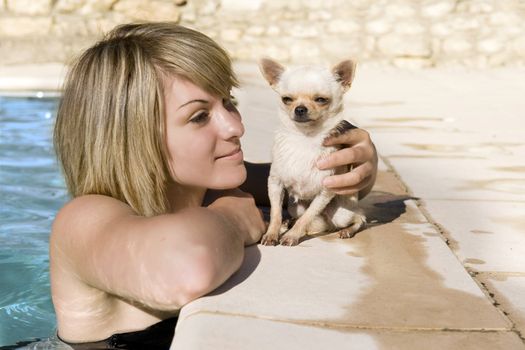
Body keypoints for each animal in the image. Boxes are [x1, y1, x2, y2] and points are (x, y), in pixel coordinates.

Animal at [258, 58, 364, 246]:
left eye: (321, 99)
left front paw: (292, 236)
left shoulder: (325, 192)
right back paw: (288, 223)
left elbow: (306, 218)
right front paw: (272, 233)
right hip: (295, 207)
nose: (300, 108)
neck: (305, 139)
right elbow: (275, 213)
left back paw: (347, 230)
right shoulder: (275, 183)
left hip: (341, 213)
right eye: (287, 99)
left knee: (359, 218)